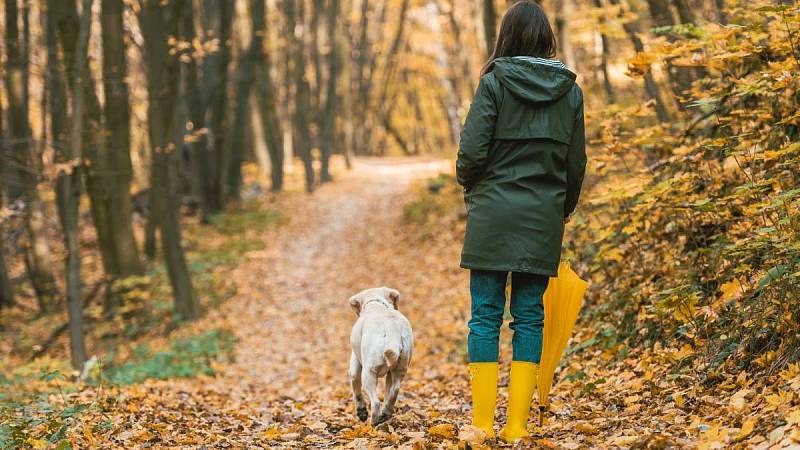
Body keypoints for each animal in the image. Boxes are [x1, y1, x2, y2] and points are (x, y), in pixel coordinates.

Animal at [348, 286, 416, 424]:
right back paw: (385, 413)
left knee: (375, 403)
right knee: (393, 392)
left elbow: (356, 389)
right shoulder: (390, 374)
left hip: (368, 373)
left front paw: (361, 412)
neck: (376, 304)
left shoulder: (355, 365)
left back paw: (374, 422)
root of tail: (391, 327)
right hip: (399, 369)